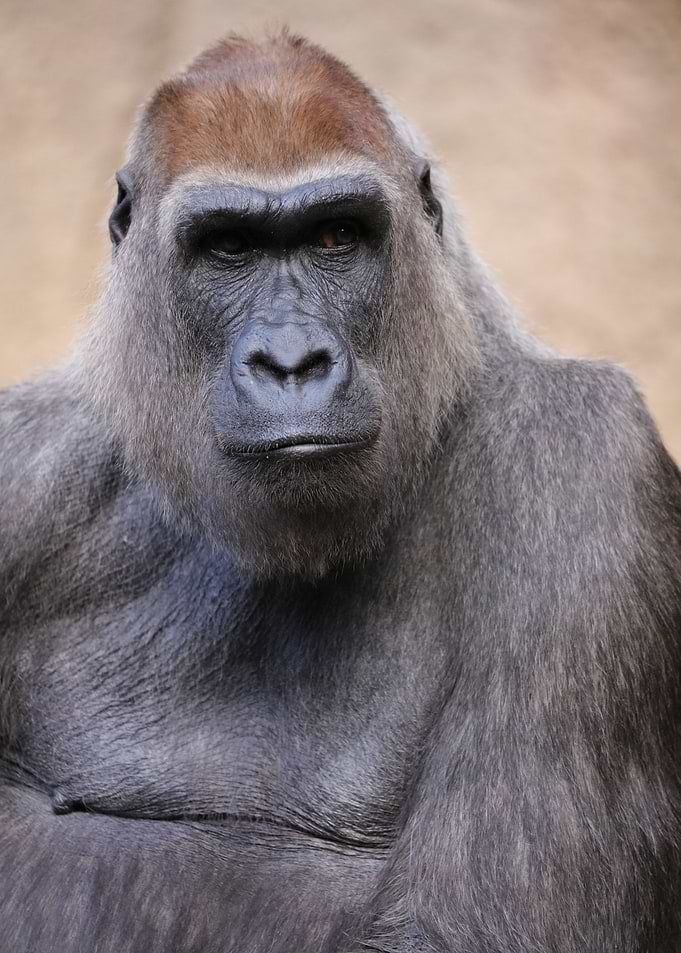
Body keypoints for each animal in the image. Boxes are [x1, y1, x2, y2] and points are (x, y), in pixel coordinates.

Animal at [1, 30, 681, 953]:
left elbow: (463, 926)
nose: (291, 362)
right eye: (228, 248)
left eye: (335, 236)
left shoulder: (587, 461)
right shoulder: (26, 466)